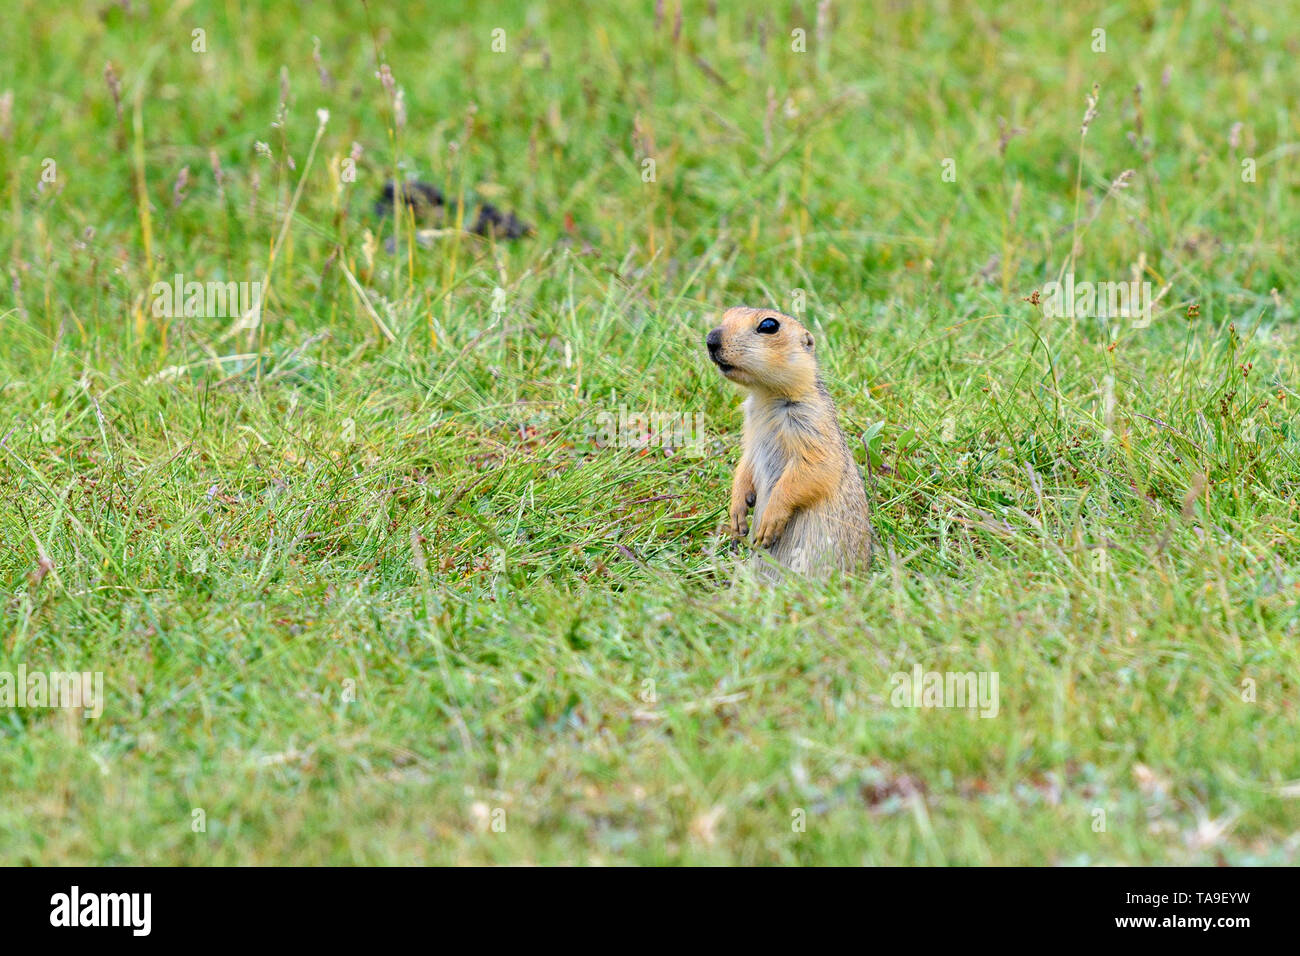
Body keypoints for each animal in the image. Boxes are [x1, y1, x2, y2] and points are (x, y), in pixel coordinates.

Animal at [706, 306, 873, 580]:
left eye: (769, 325)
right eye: (727, 314)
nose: (711, 339)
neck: (765, 395)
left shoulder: (811, 421)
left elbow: (814, 468)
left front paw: (768, 525)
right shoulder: (750, 426)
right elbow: (745, 463)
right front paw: (737, 514)